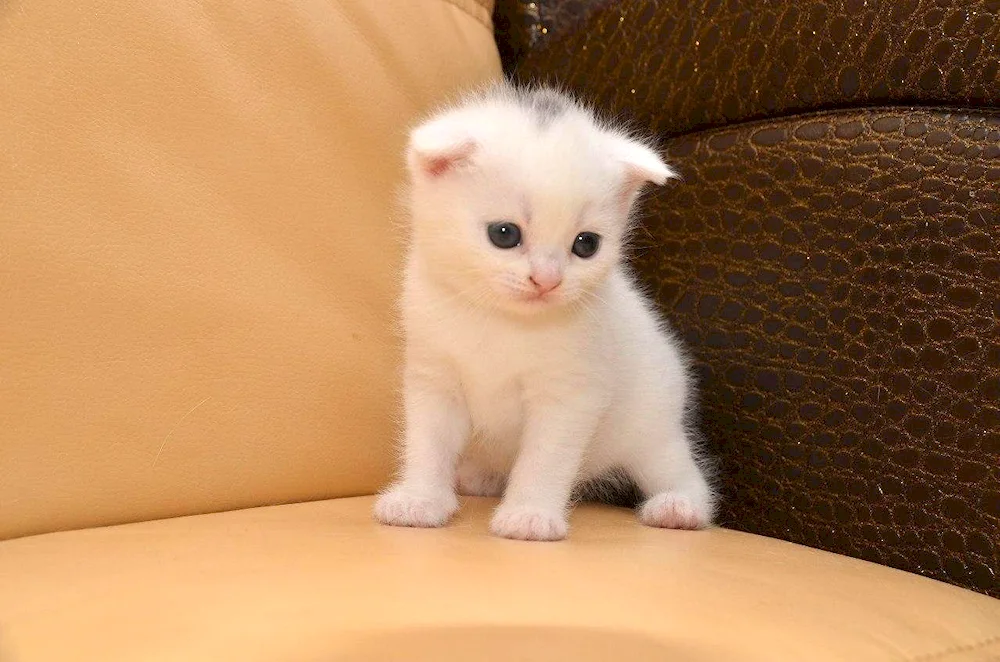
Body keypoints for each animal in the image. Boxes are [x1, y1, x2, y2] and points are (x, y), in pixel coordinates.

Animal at [372, 83, 716, 544]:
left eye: (586, 244)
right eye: (504, 234)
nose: (547, 280)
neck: (501, 320)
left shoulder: (571, 393)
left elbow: (545, 456)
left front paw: (529, 514)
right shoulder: (433, 378)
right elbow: (428, 443)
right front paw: (420, 499)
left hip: (653, 425)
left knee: (683, 472)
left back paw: (680, 506)